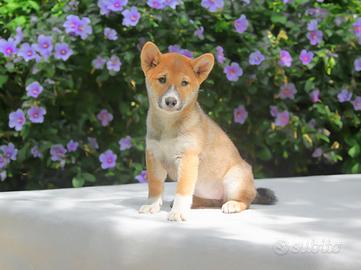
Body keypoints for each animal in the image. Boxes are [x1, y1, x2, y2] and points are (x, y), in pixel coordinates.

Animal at [138, 40, 276, 221]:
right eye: (162, 79)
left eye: (184, 83)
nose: (171, 101)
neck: (168, 125)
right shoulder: (153, 156)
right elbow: (154, 187)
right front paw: (152, 205)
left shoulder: (187, 157)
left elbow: (182, 190)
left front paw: (178, 211)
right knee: (212, 201)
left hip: (235, 178)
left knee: (245, 201)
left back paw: (232, 204)